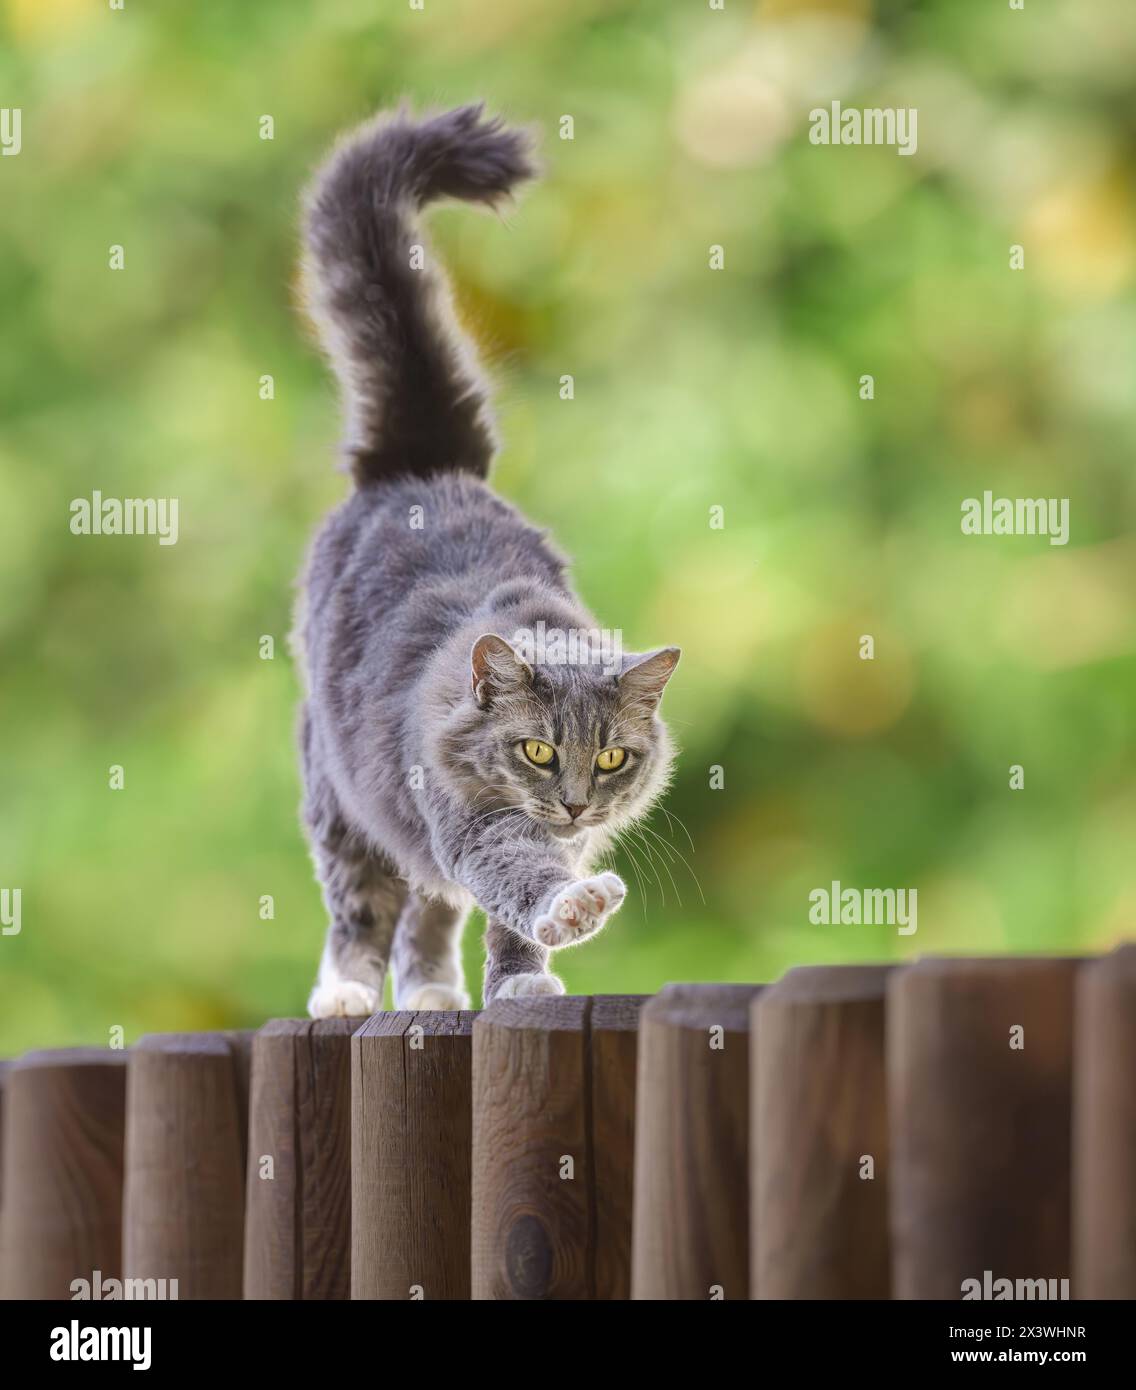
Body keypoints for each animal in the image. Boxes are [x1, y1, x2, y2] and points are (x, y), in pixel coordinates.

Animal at [297, 102, 678, 1017]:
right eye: (537, 750)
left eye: (612, 757)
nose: (572, 807)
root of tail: (419, 460)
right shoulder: (472, 820)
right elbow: (518, 878)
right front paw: (574, 908)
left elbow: (504, 919)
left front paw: (523, 983)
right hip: (340, 799)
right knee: (364, 908)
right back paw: (347, 995)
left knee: (429, 912)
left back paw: (435, 994)